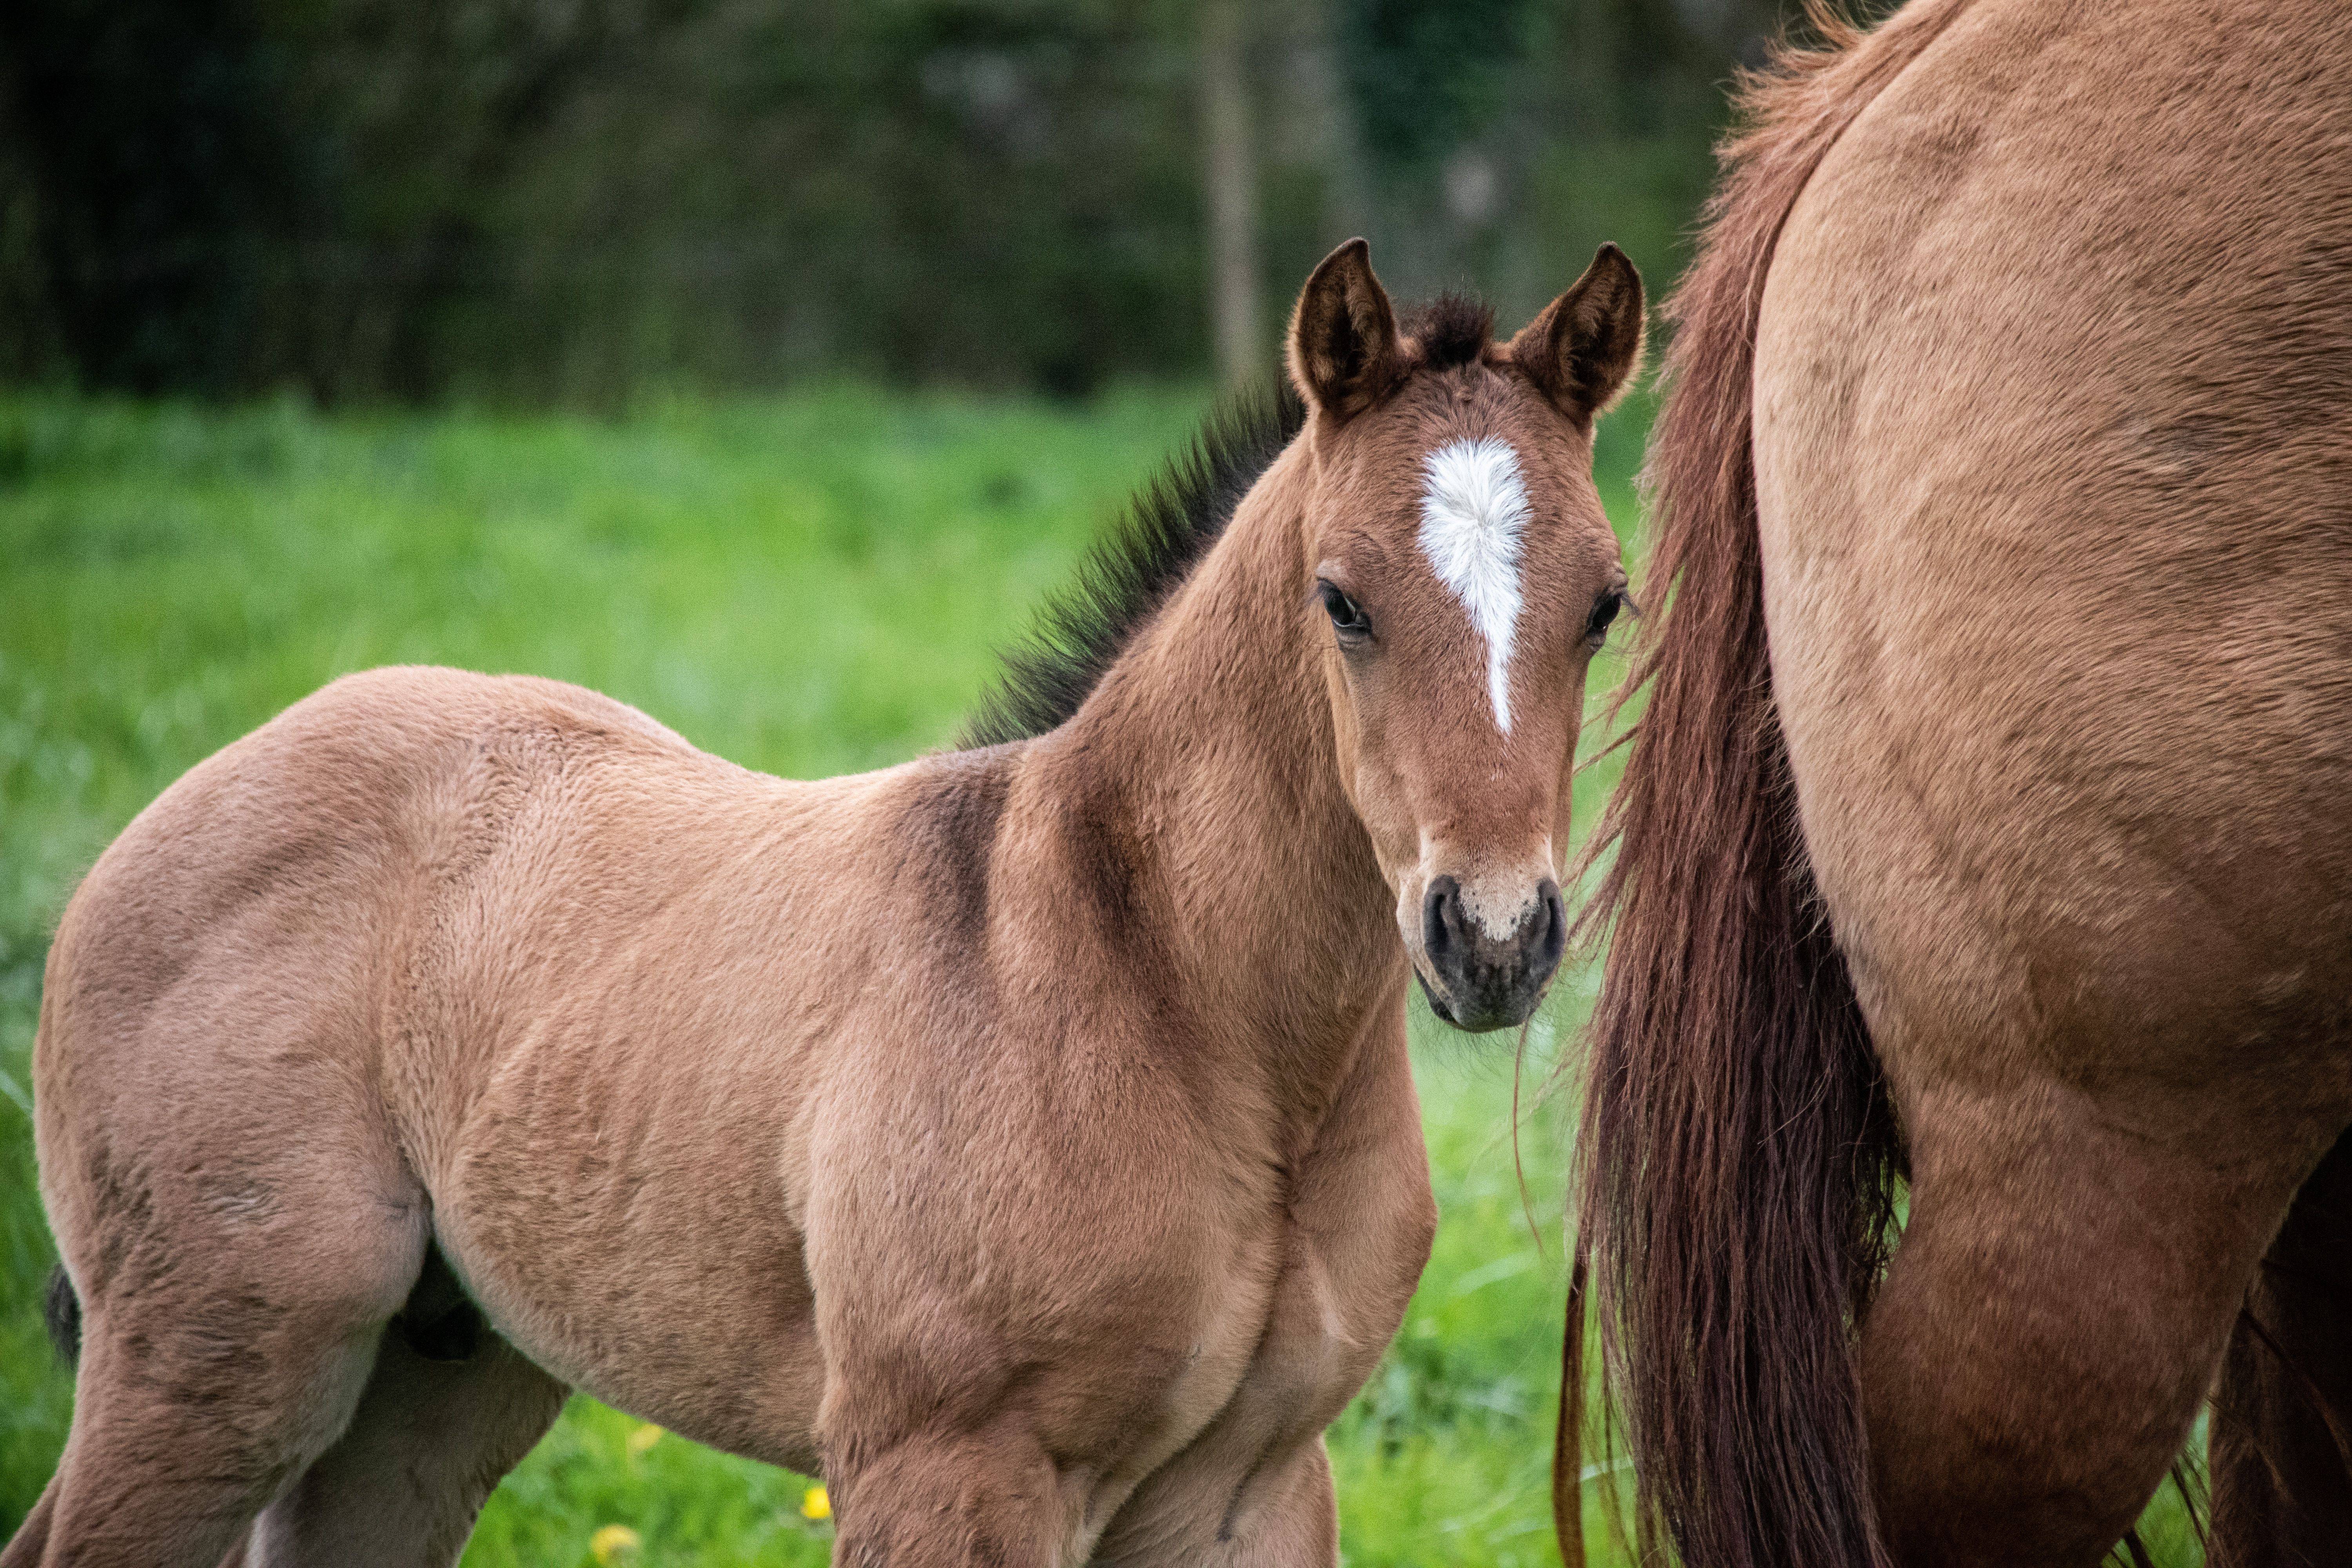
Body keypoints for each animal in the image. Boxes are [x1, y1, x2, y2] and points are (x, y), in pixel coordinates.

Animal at [3, 236, 1645, 1568]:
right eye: (1342, 599)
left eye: (1605, 604)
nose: (1493, 938)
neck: (1166, 992)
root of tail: (190, 796)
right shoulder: (940, 1465)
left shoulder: (1249, 1487)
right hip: (220, 1357)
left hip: (438, 1373)